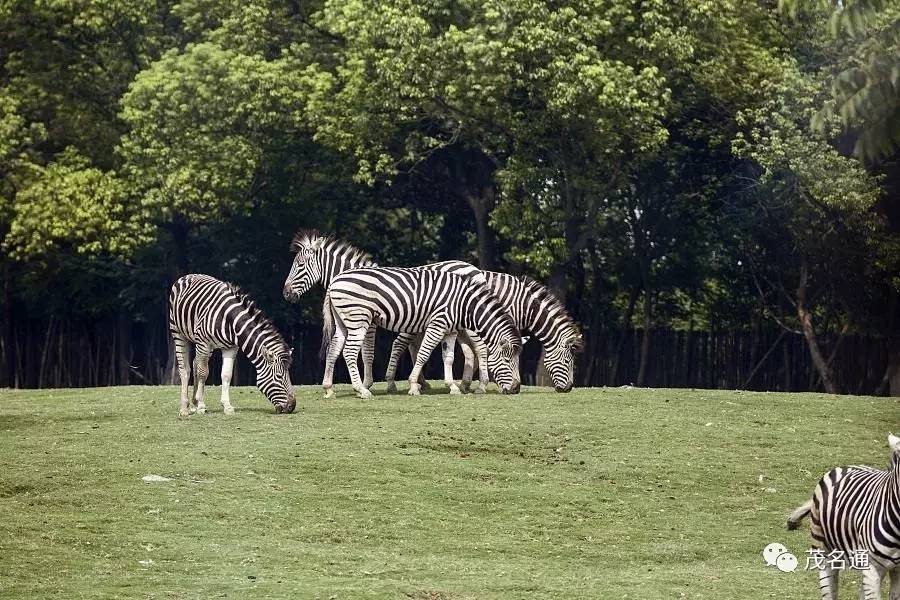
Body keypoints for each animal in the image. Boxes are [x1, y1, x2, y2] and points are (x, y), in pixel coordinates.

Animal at [169, 274, 296, 418]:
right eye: (279, 376)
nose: (292, 407)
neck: (230, 320)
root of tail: (189, 275)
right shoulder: (204, 343)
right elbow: (203, 373)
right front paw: (201, 406)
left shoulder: (230, 348)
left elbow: (226, 375)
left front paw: (227, 406)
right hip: (178, 333)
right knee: (185, 369)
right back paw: (184, 408)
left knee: (196, 363)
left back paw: (194, 403)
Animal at [322, 268, 520, 398]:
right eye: (507, 360)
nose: (516, 389)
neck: (464, 304)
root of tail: (334, 281)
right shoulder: (438, 324)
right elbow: (423, 354)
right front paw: (414, 386)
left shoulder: (450, 330)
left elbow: (449, 358)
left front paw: (452, 386)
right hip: (358, 318)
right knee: (349, 352)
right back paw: (361, 390)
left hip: (343, 322)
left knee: (333, 350)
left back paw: (329, 388)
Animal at [384, 268, 584, 392]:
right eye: (568, 361)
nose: (568, 389)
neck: (523, 305)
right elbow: (494, 354)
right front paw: (483, 384)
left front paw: (466, 384)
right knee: (399, 344)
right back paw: (393, 382)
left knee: (413, 346)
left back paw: (422, 383)